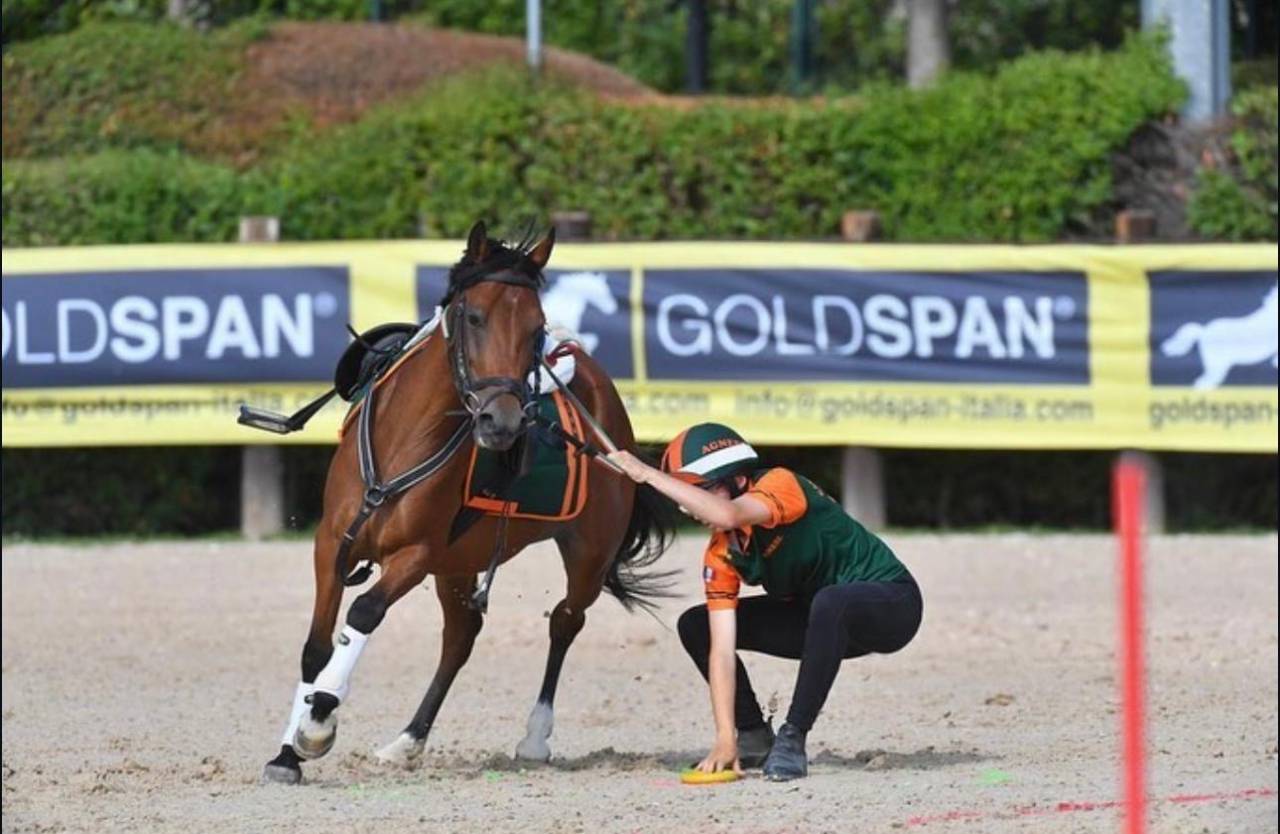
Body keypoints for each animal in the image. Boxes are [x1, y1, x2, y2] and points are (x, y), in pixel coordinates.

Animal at [261, 220, 675, 785]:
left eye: (535, 327)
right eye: (474, 316)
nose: (503, 422)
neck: (401, 441)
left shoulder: (415, 554)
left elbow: (363, 613)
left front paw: (319, 723)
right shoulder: (331, 545)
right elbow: (316, 648)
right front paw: (288, 752)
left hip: (588, 552)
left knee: (565, 621)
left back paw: (534, 738)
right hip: (459, 561)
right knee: (461, 636)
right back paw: (408, 741)